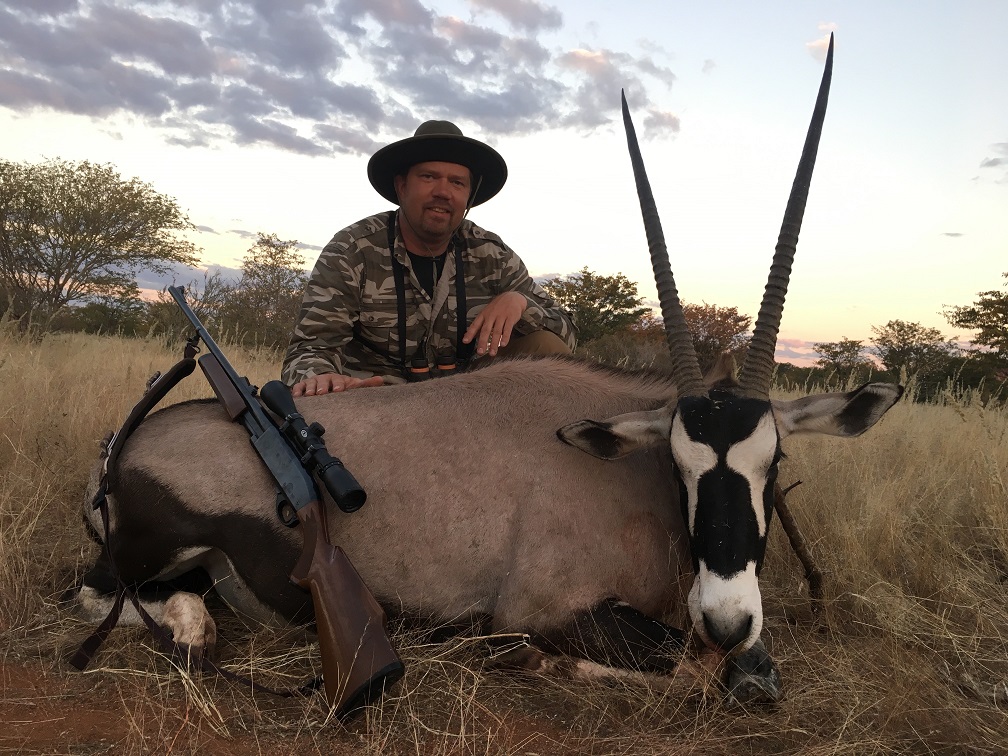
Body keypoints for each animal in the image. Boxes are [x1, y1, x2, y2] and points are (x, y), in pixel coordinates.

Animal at [71, 34, 899, 704]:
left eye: (774, 461)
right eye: (679, 461)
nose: (728, 619)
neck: (627, 474)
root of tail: (121, 448)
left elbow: (743, 670)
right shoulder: (547, 609)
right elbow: (703, 673)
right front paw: (538, 663)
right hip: (147, 554)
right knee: (113, 597)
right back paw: (192, 630)